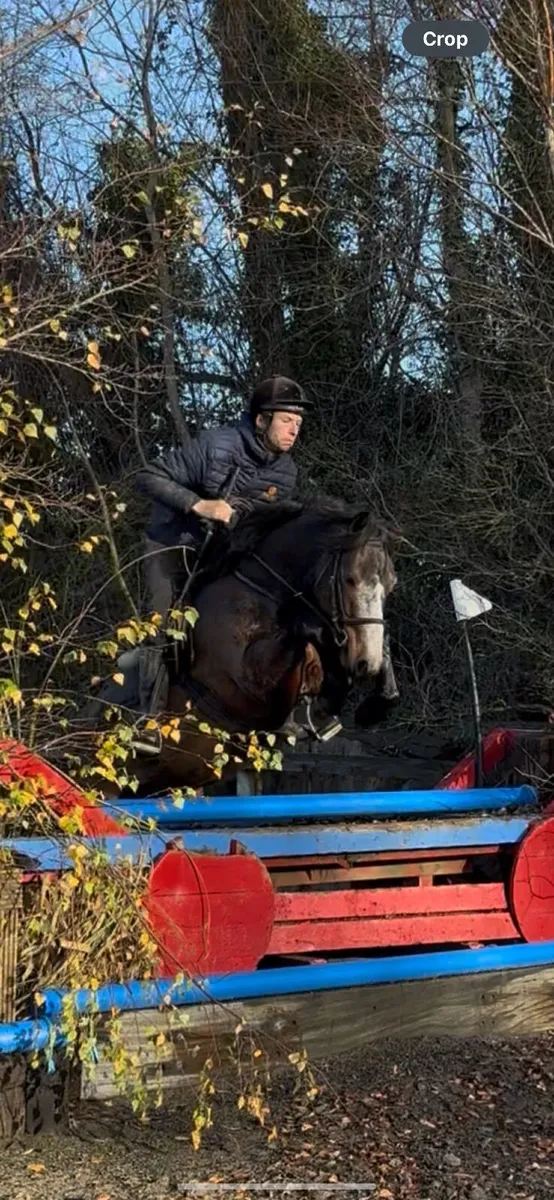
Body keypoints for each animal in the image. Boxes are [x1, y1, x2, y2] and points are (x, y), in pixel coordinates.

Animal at [76, 500, 397, 797]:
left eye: (390, 585)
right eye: (350, 579)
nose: (365, 663)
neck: (264, 590)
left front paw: (377, 703)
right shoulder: (248, 684)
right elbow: (299, 635)